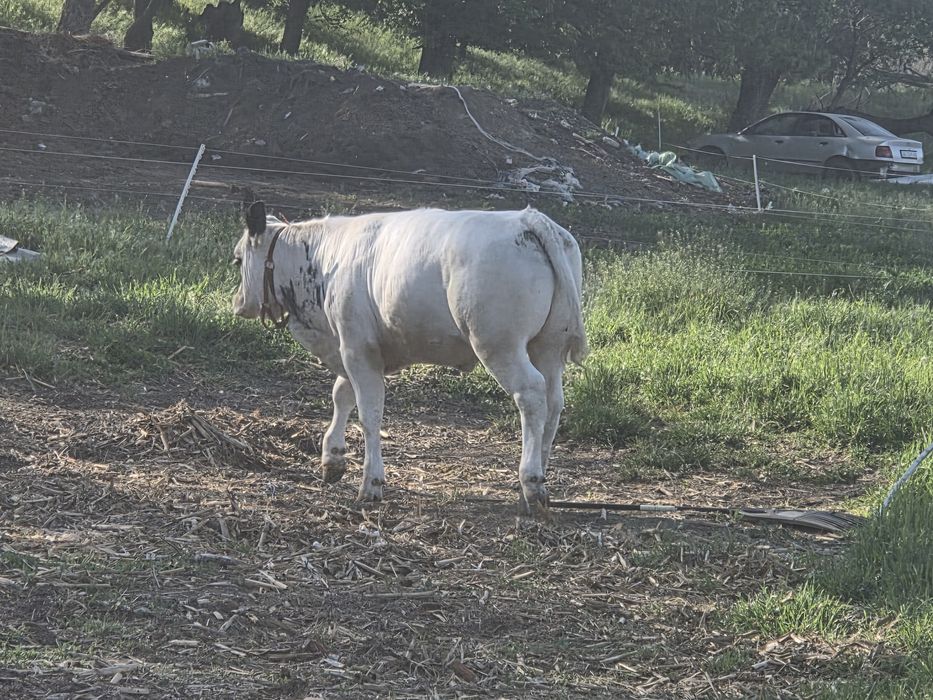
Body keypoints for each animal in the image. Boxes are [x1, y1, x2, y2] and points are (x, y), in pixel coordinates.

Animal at [232, 203, 588, 516]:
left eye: (237, 261)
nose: (237, 302)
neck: (323, 259)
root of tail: (527, 218)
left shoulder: (357, 348)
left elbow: (369, 414)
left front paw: (371, 483)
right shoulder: (351, 347)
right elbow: (341, 395)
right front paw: (332, 458)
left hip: (500, 345)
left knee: (531, 394)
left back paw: (531, 481)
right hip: (548, 347)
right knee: (553, 402)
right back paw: (536, 481)